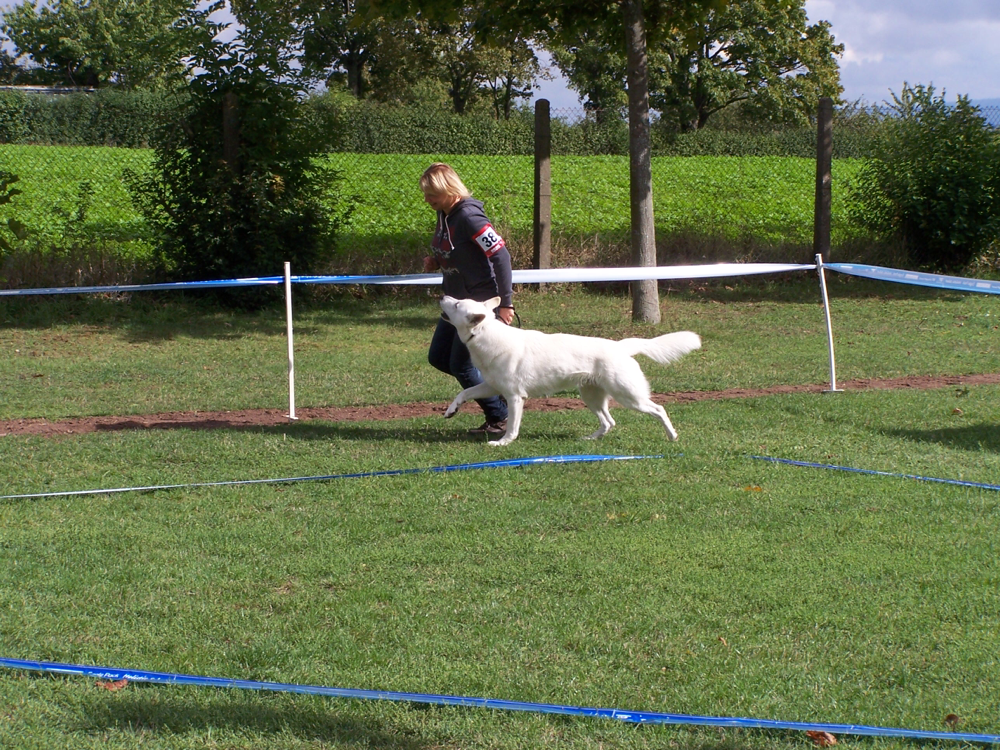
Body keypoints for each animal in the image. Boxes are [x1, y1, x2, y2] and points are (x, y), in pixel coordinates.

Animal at [438, 294, 704, 446]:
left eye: (457, 303)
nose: (442, 294)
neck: (485, 335)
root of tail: (621, 346)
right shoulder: (490, 386)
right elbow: (464, 393)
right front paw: (451, 410)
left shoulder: (514, 397)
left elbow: (512, 426)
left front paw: (503, 442)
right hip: (592, 397)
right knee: (609, 422)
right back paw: (590, 439)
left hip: (629, 397)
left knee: (658, 409)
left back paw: (672, 436)